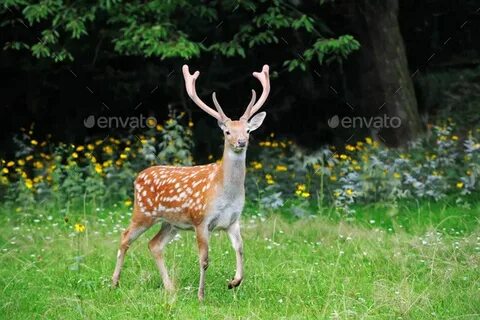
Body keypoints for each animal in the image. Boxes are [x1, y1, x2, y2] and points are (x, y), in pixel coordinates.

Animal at [111, 64, 270, 300]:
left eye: (248, 130)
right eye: (227, 131)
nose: (241, 141)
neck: (226, 193)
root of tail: (138, 177)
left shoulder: (233, 221)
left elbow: (241, 249)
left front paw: (234, 282)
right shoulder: (201, 220)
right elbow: (204, 259)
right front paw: (201, 295)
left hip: (171, 223)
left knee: (154, 245)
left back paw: (169, 287)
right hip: (143, 212)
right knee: (125, 237)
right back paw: (114, 283)